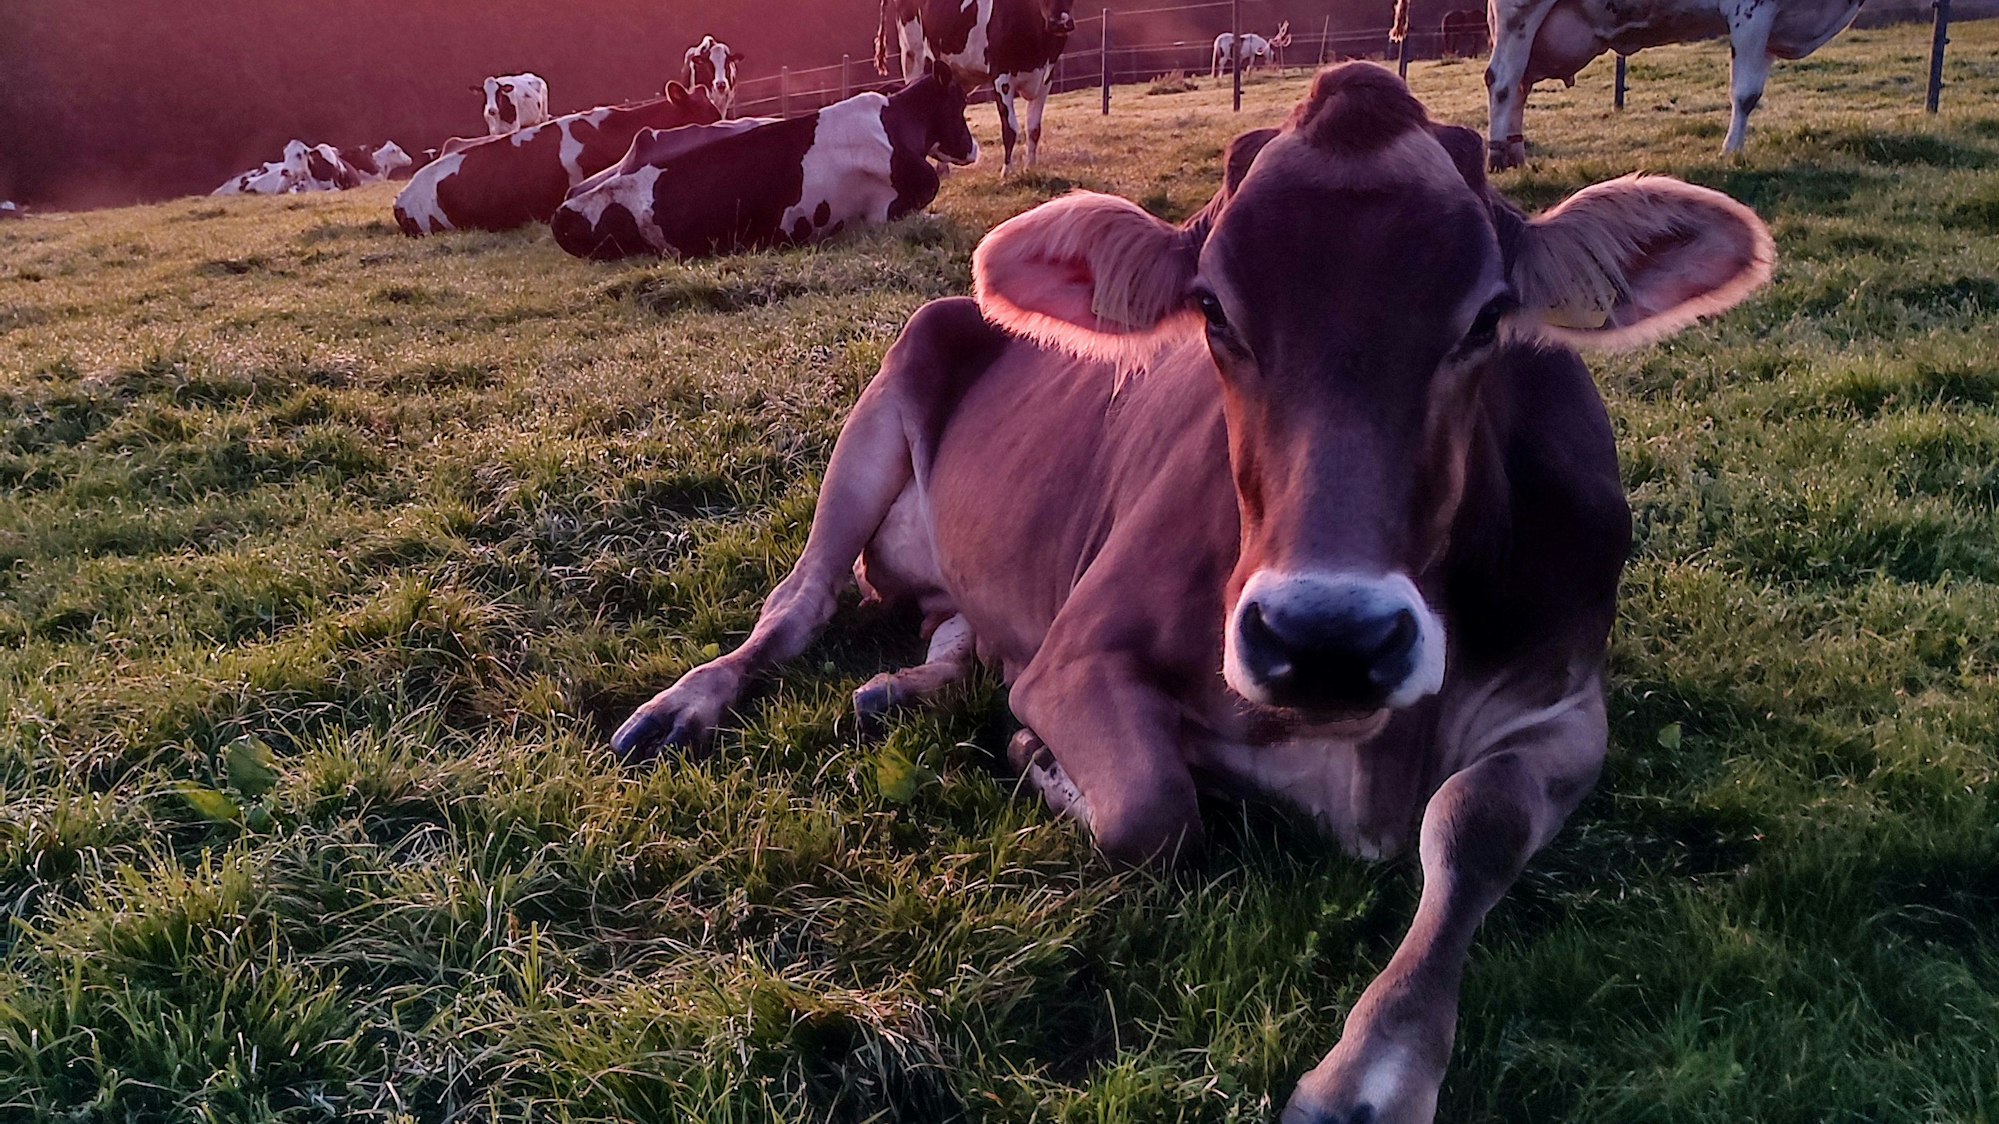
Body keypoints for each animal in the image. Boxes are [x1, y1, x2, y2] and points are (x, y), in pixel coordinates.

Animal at [610, 62, 1774, 1124]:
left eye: (1487, 317)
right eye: (1213, 310)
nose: (1328, 637)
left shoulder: (1569, 701)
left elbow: (1472, 820)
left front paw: (1373, 1070)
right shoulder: (1080, 652)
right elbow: (1154, 811)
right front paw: (1046, 759)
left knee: (957, 632)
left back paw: (901, 690)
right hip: (881, 408)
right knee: (796, 605)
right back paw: (682, 708)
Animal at [877, 0, 1077, 176]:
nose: (1060, 23)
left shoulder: (1046, 78)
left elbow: (1034, 128)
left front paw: (1030, 168)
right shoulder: (1001, 76)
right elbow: (1010, 128)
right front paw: (1007, 172)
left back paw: (943, 169)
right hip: (912, 54)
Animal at [1459, 0, 1863, 168]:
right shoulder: (1751, 11)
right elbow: (1745, 94)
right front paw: (1731, 152)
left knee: (1519, 84)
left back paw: (1515, 153)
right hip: (1519, 13)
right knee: (1502, 80)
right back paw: (1498, 156)